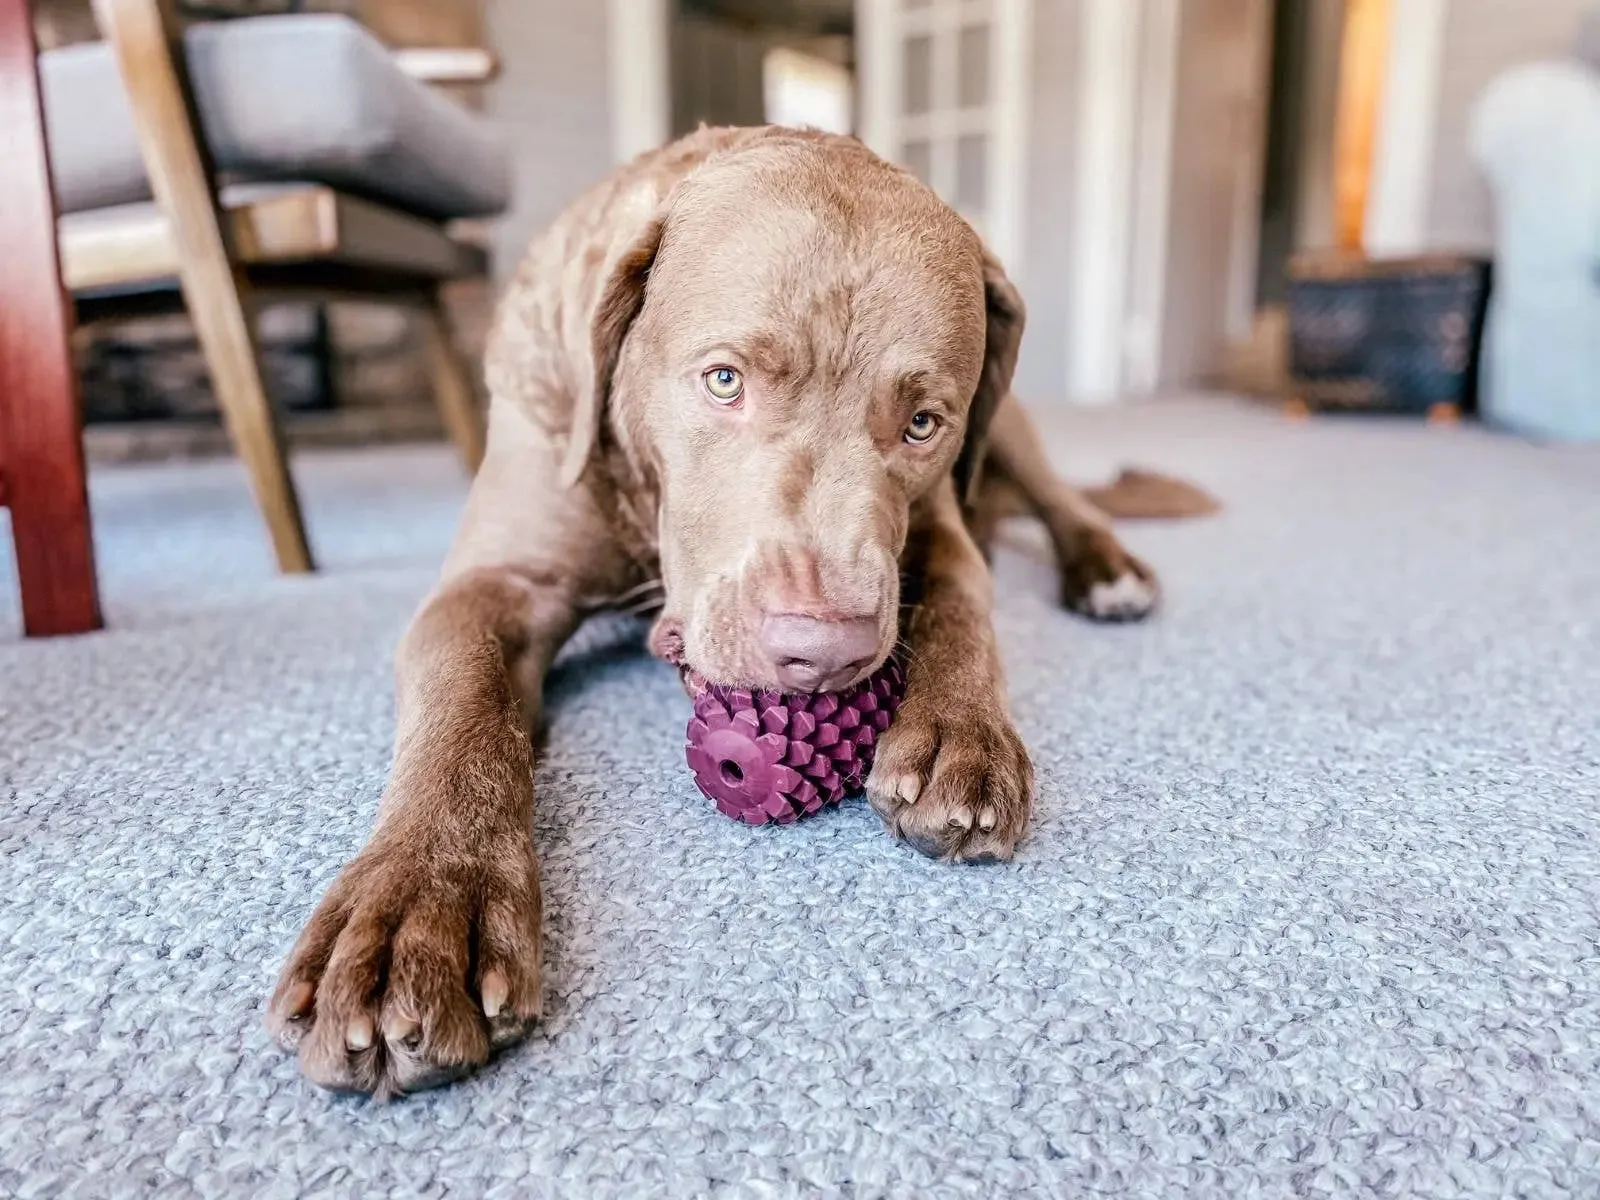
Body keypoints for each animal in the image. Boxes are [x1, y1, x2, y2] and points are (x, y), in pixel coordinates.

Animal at [265, 127, 1203, 1094]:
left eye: (922, 423)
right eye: (724, 380)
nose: (824, 650)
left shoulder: (938, 517)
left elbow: (964, 599)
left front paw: (960, 731)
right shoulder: (495, 580)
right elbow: (464, 704)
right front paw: (420, 902)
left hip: (1009, 429)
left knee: (1058, 500)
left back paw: (1106, 570)